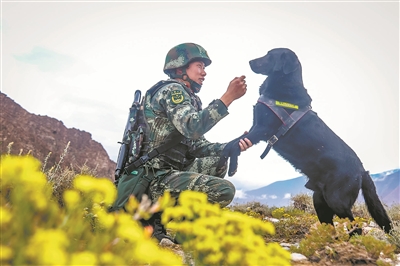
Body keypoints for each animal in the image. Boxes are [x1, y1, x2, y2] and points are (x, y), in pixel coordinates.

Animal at [223, 48, 392, 235]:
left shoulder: (261, 129)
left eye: (270, 55)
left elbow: (233, 145)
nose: (250, 62)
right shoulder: (254, 127)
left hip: (337, 200)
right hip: (319, 200)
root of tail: (362, 170)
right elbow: (231, 143)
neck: (284, 84)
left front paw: (231, 166)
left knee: (355, 227)